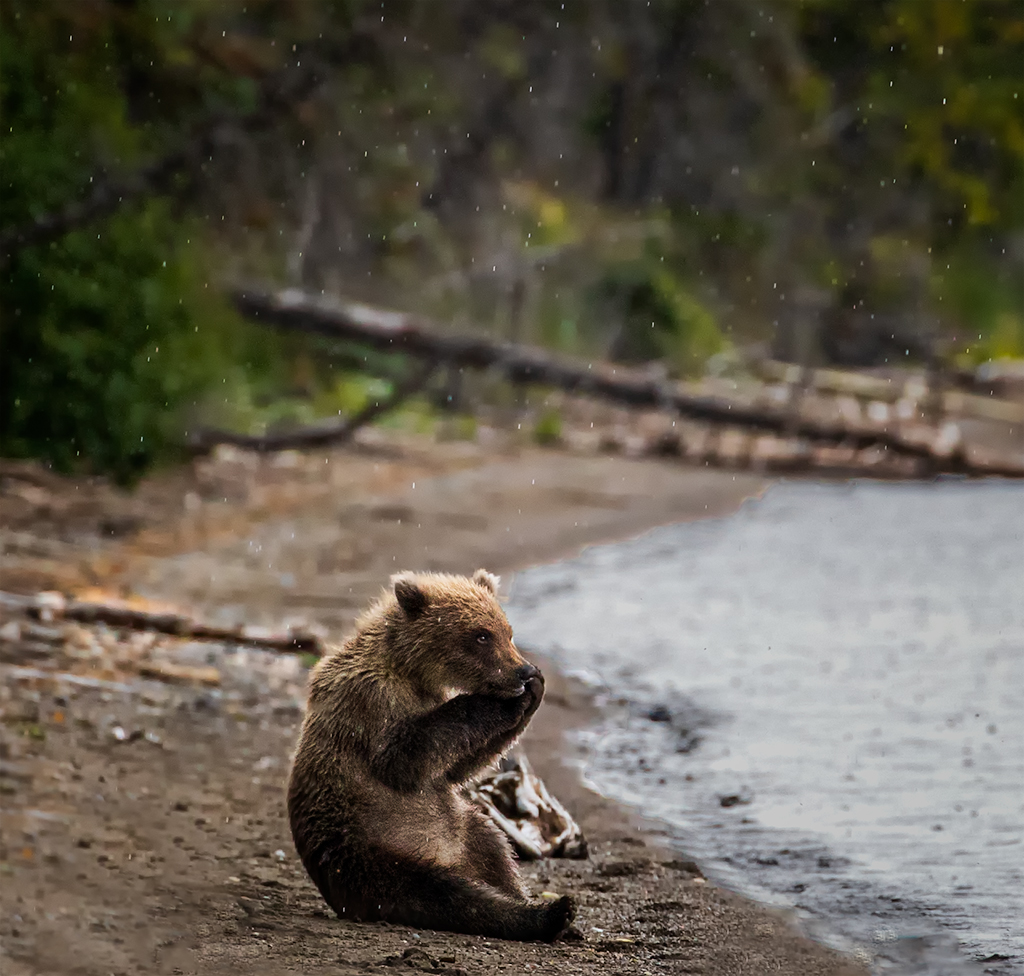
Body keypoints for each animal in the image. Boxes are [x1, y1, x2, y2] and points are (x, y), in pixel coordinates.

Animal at [288, 569, 577, 942]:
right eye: (481, 635)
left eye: (508, 631)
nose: (522, 671)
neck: (410, 672)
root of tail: (447, 858)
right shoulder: (370, 702)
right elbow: (405, 758)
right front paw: (503, 700)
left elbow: (454, 766)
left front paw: (533, 690)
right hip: (366, 850)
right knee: (443, 894)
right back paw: (548, 914)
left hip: (459, 830)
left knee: (494, 851)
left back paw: (533, 903)